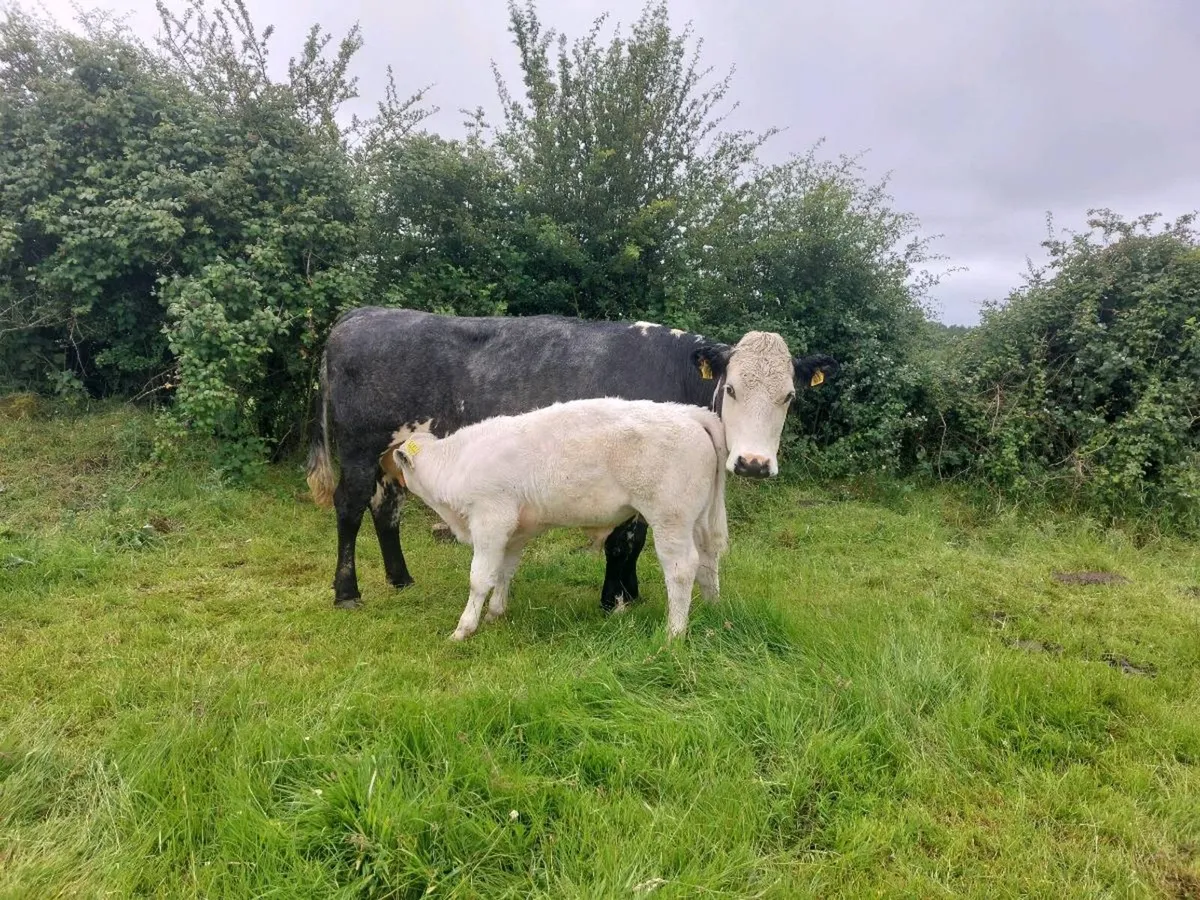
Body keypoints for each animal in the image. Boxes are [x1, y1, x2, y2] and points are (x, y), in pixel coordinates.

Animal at [305, 307, 839, 610]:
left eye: (789, 396)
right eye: (731, 389)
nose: (752, 463)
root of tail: (361, 314)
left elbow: (633, 543)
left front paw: (629, 594)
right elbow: (624, 542)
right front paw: (615, 600)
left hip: (395, 455)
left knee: (386, 507)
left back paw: (401, 579)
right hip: (359, 449)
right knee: (351, 507)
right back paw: (348, 592)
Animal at [377, 397, 729, 641]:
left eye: (395, 452)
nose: (379, 459)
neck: (458, 462)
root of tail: (687, 412)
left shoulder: (490, 522)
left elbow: (479, 578)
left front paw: (464, 629)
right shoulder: (515, 532)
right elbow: (504, 572)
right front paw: (495, 612)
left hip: (671, 519)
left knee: (682, 570)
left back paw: (674, 632)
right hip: (699, 519)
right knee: (709, 559)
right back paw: (712, 609)